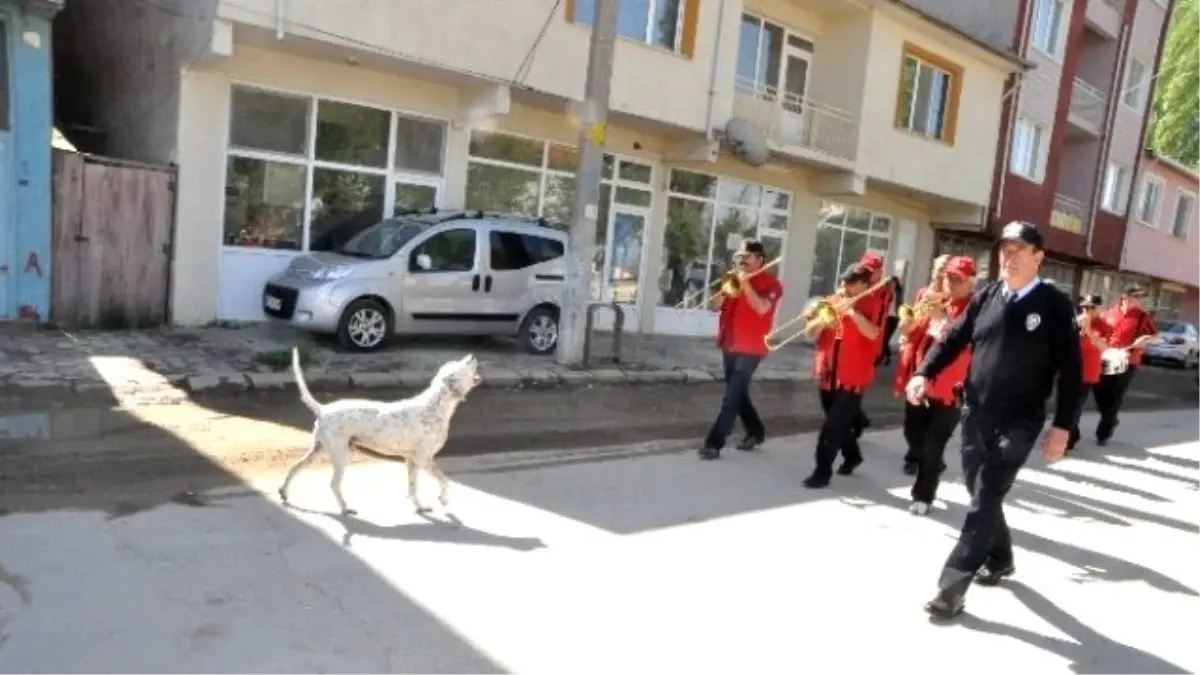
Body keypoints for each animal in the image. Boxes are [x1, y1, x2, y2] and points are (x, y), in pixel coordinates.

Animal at [279, 345, 482, 509]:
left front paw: (419, 506)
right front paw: (443, 499)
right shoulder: (424, 459)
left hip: (318, 450)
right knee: (334, 484)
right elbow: (445, 481)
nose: (472, 355)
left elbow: (413, 487)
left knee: (295, 467)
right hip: (341, 456)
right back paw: (345, 507)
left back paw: (284, 492)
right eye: (462, 365)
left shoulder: (412, 461)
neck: (435, 405)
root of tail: (323, 409)